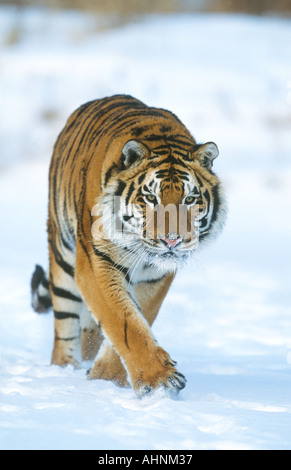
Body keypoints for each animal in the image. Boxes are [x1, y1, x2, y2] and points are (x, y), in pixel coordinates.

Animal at [30, 94, 226, 396]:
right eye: (150, 198)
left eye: (190, 199)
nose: (172, 240)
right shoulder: (95, 263)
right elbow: (125, 323)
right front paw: (159, 380)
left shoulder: (155, 277)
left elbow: (136, 319)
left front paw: (106, 378)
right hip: (62, 257)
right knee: (64, 325)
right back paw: (64, 369)